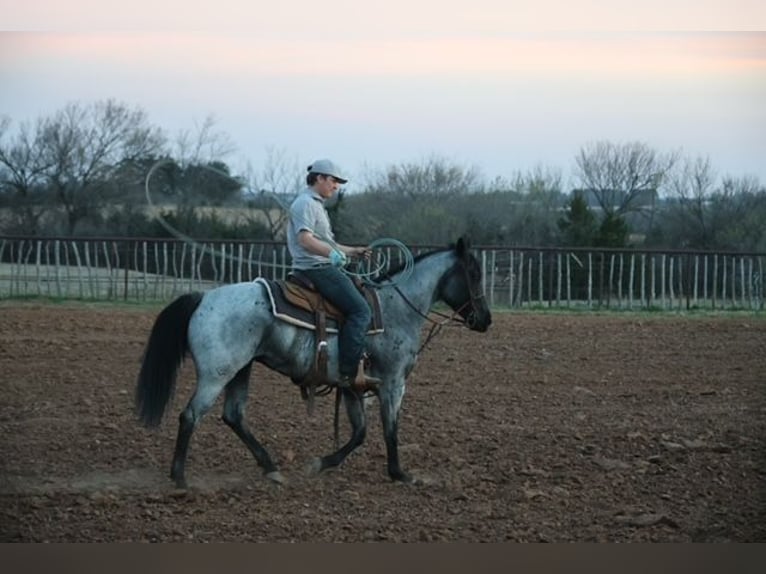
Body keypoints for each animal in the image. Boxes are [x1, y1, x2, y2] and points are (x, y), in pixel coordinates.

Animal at [135, 236, 492, 488]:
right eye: (474, 274)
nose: (485, 320)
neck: (396, 310)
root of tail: (203, 298)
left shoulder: (351, 386)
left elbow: (360, 433)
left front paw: (321, 463)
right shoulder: (392, 382)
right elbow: (390, 428)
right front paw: (400, 474)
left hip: (240, 370)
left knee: (233, 416)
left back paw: (271, 468)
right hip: (216, 373)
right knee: (190, 415)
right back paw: (180, 478)